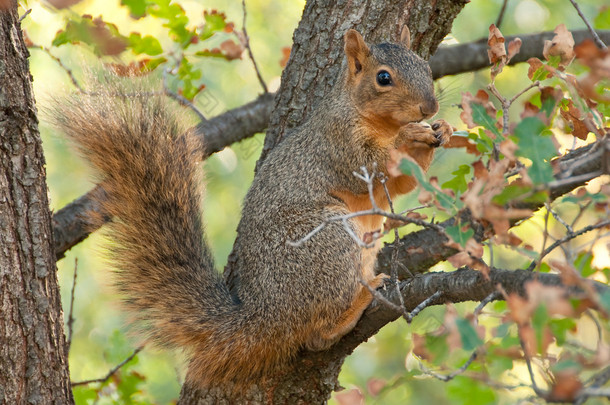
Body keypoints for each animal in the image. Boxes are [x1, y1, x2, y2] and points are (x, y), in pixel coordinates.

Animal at [52, 28, 452, 388]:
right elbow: (369, 168)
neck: (376, 121)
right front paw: (410, 136)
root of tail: (265, 316)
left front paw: (442, 130)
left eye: (424, 65)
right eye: (383, 77)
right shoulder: (336, 144)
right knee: (317, 334)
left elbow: (402, 185)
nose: (429, 107)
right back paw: (357, 303)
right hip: (327, 242)